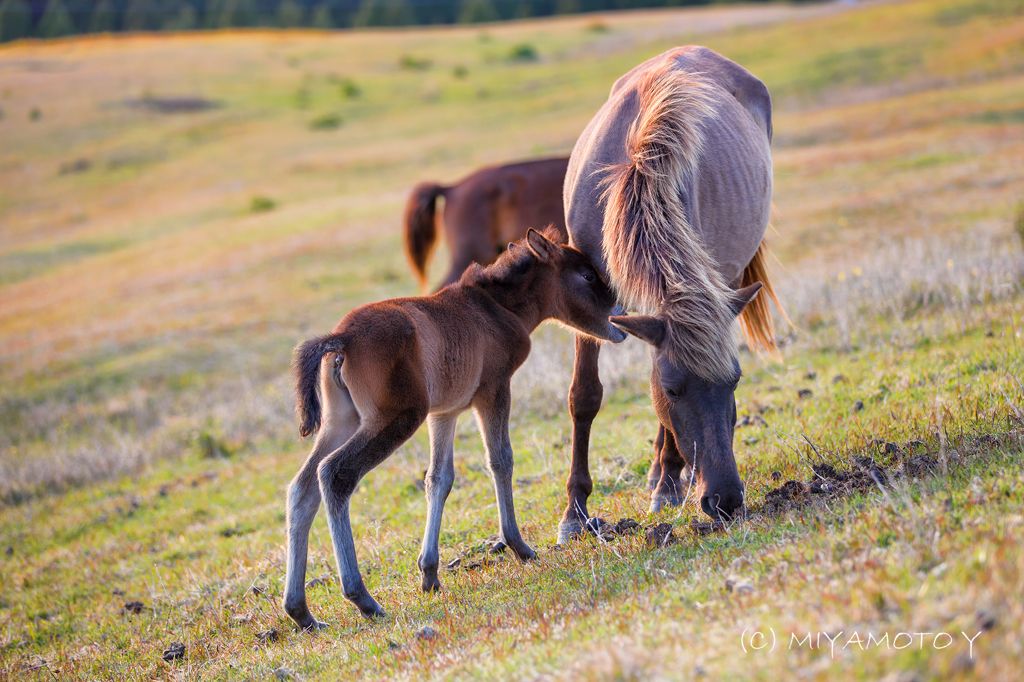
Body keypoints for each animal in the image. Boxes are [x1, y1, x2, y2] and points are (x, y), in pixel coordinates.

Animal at [284, 229, 626, 626]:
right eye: (587, 276)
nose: (620, 315)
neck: (494, 307)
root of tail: (342, 339)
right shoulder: (493, 390)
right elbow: (500, 461)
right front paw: (519, 546)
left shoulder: (444, 413)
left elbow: (439, 479)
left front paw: (429, 573)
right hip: (397, 417)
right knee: (335, 474)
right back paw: (362, 599)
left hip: (342, 422)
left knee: (302, 488)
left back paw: (301, 613)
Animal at [561, 45, 782, 540]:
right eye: (673, 390)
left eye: (735, 381)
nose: (726, 500)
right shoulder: (585, 294)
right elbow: (584, 396)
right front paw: (574, 513)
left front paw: (668, 483)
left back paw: (666, 479)